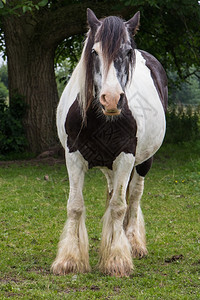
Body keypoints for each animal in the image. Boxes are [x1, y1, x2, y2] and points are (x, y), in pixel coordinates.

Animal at [51, 7, 167, 276]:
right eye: (94, 52)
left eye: (127, 52)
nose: (111, 99)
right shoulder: (73, 156)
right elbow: (75, 205)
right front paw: (69, 260)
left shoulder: (126, 156)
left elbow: (119, 206)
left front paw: (117, 259)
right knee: (115, 191)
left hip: (143, 161)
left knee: (133, 197)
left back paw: (133, 243)